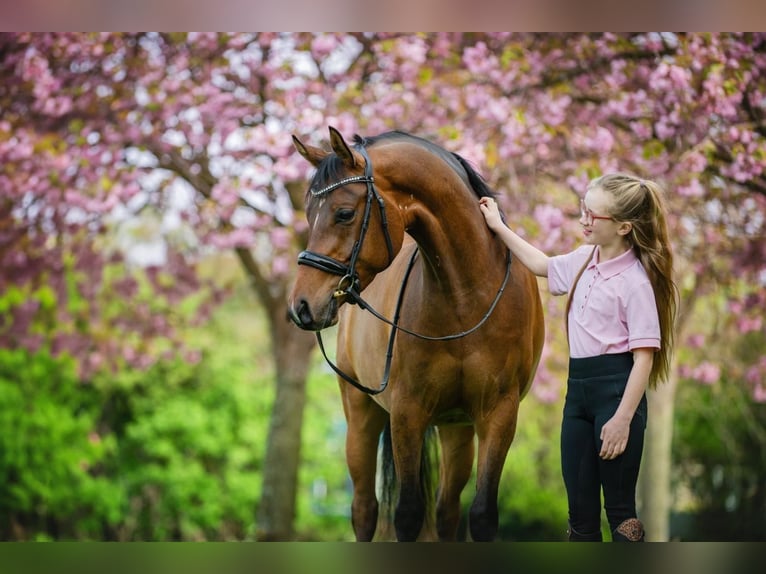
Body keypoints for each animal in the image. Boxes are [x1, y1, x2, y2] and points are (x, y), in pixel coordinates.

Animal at [288, 127, 544, 544]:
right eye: (309, 214)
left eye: (344, 213)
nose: (302, 306)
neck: (467, 296)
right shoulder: (407, 412)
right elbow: (407, 515)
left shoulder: (499, 414)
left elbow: (482, 514)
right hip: (361, 414)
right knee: (365, 509)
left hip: (457, 429)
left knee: (447, 511)